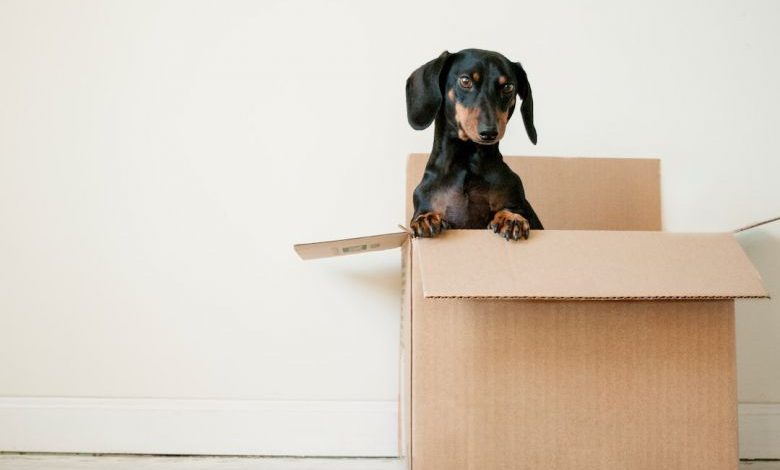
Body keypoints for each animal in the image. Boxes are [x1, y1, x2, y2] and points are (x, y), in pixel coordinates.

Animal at [408, 49, 544, 241]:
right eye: (465, 81)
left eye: (508, 87)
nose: (489, 132)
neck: (467, 162)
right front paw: (426, 219)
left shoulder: (519, 203)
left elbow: (511, 210)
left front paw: (511, 218)